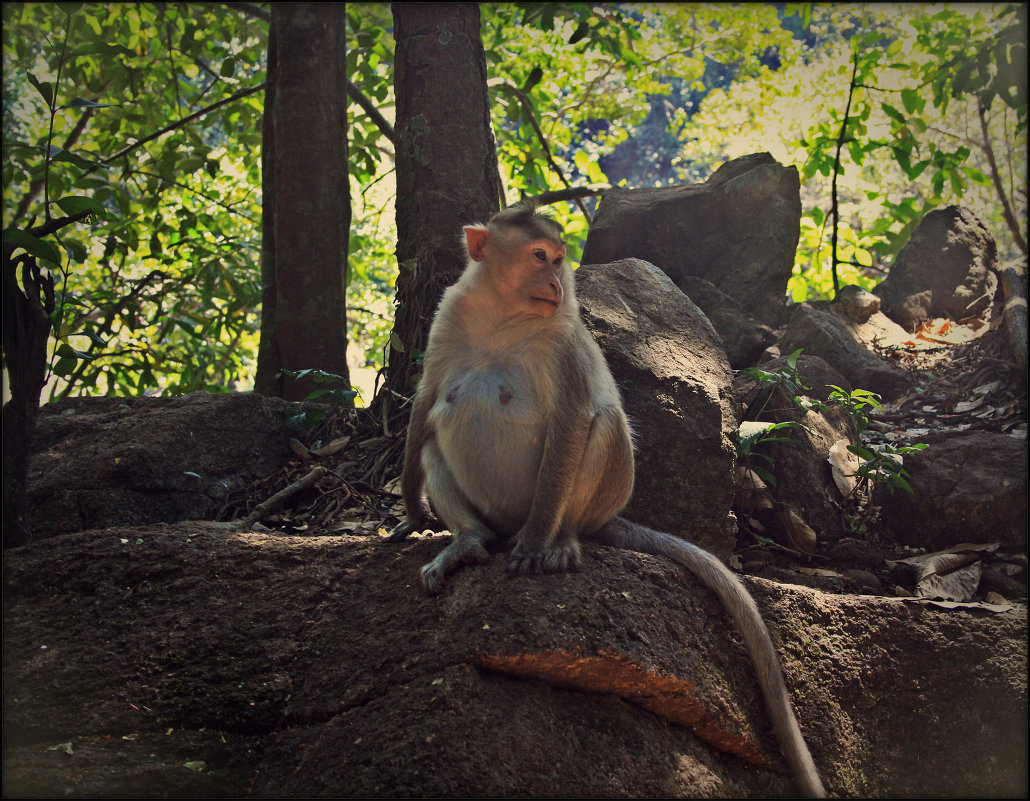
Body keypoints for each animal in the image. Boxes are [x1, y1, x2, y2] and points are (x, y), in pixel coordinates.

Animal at [389, 204, 824, 790]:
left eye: (557, 260)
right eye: (538, 256)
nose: (555, 283)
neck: (503, 313)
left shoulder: (564, 338)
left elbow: (573, 418)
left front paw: (536, 546)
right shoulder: (448, 316)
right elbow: (427, 399)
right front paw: (412, 508)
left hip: (586, 500)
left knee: (602, 422)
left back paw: (560, 540)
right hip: (494, 513)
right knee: (438, 430)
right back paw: (467, 540)